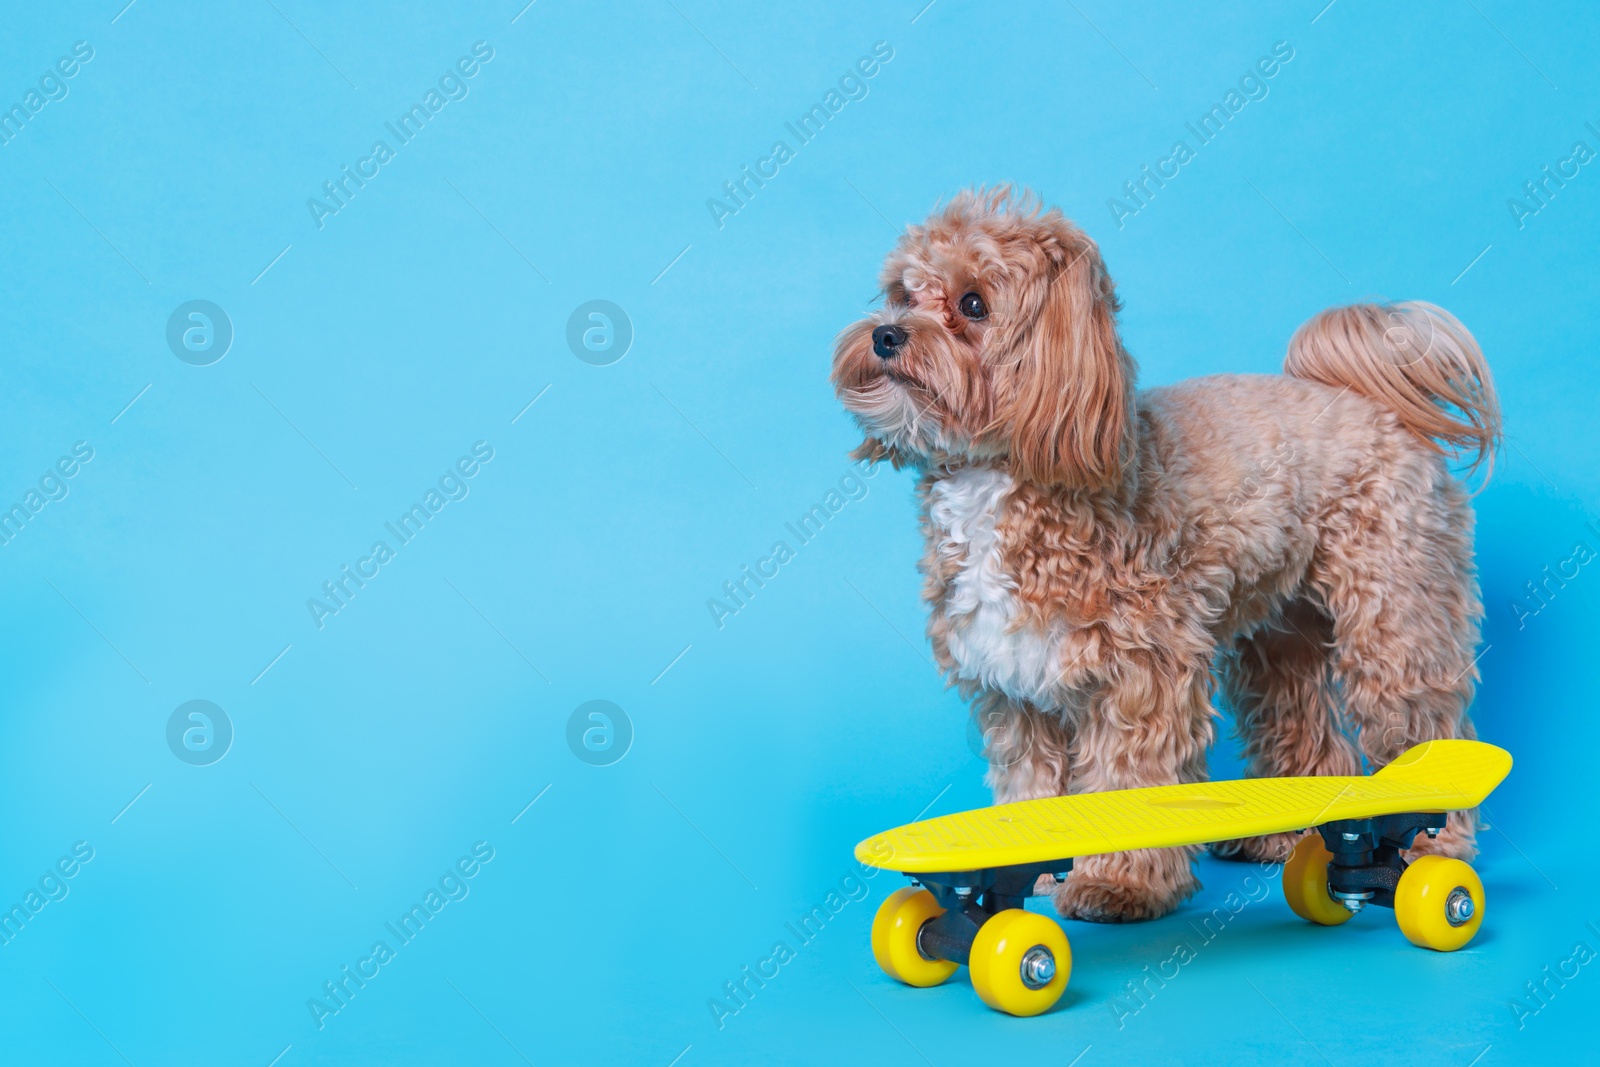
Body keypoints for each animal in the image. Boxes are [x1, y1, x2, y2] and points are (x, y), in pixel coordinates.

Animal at [832, 187, 1504, 921]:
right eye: (901, 294)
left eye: (974, 303)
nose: (885, 334)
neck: (1006, 472)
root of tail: (1373, 402)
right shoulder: (1017, 682)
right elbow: (1031, 779)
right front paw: (1030, 861)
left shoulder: (1140, 672)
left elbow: (1129, 780)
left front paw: (1120, 883)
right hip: (1281, 634)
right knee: (1300, 717)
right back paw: (1286, 834)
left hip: (1396, 616)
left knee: (1421, 721)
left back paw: (1433, 840)